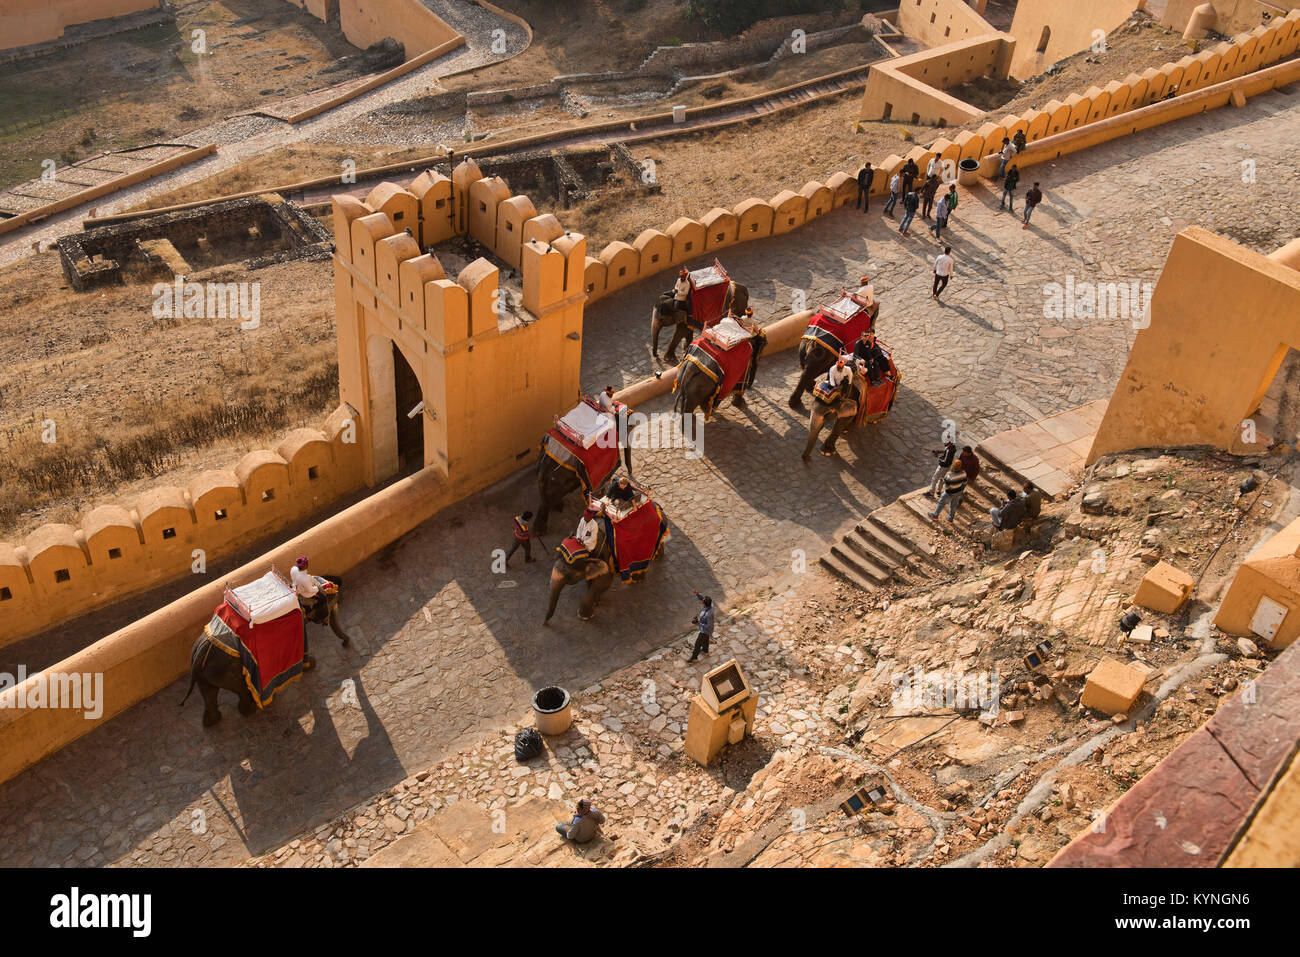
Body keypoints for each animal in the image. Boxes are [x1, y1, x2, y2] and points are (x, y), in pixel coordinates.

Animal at [180, 574, 351, 722]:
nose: (345, 644)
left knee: (209, 692)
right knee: (240, 688)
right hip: (227, 671)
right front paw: (311, 665)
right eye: (329, 602)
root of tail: (199, 654)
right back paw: (252, 709)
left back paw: (213, 721)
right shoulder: (299, 622)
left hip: (206, 672)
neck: (293, 587)